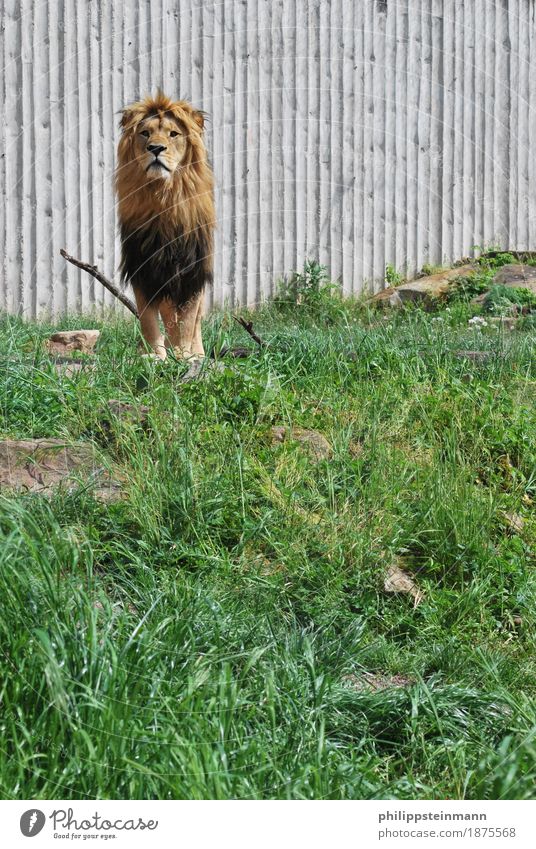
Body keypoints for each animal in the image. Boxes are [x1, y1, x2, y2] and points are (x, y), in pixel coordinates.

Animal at [115, 91, 216, 360]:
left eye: (173, 134)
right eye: (145, 133)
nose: (156, 148)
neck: (164, 197)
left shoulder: (191, 273)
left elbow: (188, 321)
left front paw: (184, 356)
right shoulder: (143, 269)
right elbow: (149, 320)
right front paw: (154, 356)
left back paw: (195, 353)